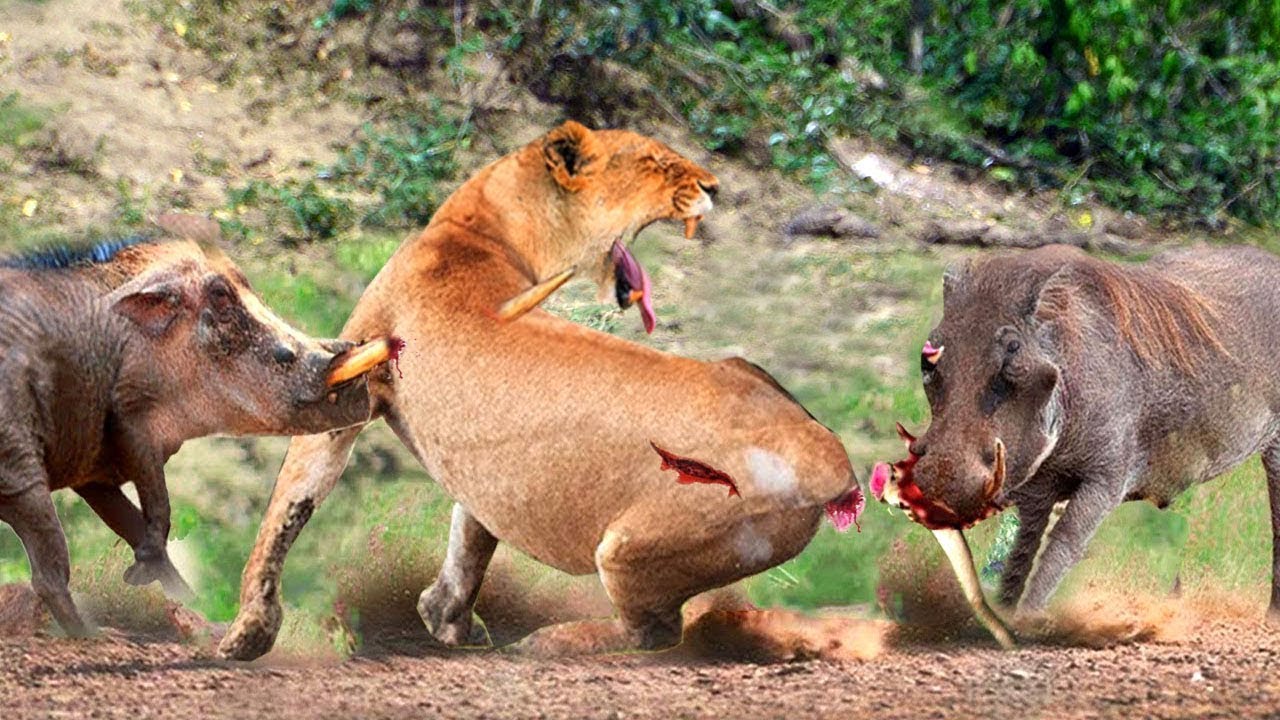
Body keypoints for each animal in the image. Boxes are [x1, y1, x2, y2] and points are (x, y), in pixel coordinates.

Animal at [218, 120, 860, 659]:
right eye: (655, 160)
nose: (715, 186)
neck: (480, 229)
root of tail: (828, 456)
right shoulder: (484, 468)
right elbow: (469, 536)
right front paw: (444, 618)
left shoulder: (347, 385)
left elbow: (287, 511)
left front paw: (249, 633)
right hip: (742, 373)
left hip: (629, 547)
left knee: (652, 633)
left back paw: (551, 641)